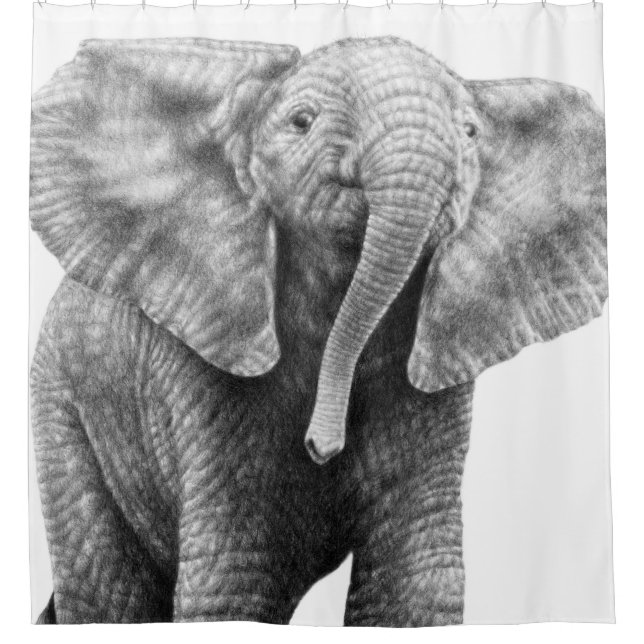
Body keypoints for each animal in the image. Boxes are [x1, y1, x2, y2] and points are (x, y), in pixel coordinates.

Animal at [29, 36, 607, 626]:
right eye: (301, 121)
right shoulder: (204, 364)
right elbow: (237, 574)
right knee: (108, 589)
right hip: (61, 405)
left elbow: (414, 579)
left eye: (470, 133)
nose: (321, 445)